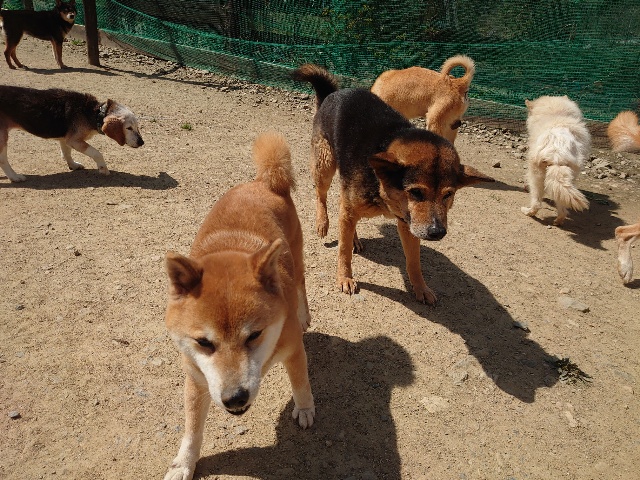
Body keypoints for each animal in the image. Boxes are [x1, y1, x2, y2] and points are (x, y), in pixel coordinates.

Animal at [0, 85, 144, 182]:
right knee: (3, 160)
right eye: (129, 128)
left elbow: (66, 153)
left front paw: (73, 165)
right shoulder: (74, 140)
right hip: (2, 138)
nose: (142, 142)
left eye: (137, 127)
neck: (94, 112)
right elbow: (97, 153)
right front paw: (103, 168)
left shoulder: (65, 139)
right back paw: (14, 177)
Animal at [163, 132, 315, 480]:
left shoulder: (293, 350)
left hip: (297, 256)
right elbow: (192, 429)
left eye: (254, 335)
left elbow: (301, 383)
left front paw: (305, 409)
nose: (235, 399)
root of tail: (263, 183)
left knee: (301, 284)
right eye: (203, 342)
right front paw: (183, 463)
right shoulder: (196, 378)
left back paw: (303, 314)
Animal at [293, 63, 494, 305]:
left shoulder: (410, 224)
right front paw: (344, 277)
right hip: (325, 165)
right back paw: (323, 223)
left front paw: (421, 288)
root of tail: (333, 94)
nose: (437, 232)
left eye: (448, 195)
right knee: (321, 196)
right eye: (416, 192)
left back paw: (353, 238)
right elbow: (343, 252)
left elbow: (414, 262)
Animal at [521, 95, 590, 226]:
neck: (556, 113)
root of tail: (557, 154)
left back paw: (528, 212)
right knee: (561, 205)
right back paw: (558, 221)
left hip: (536, 175)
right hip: (569, 175)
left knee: (537, 202)